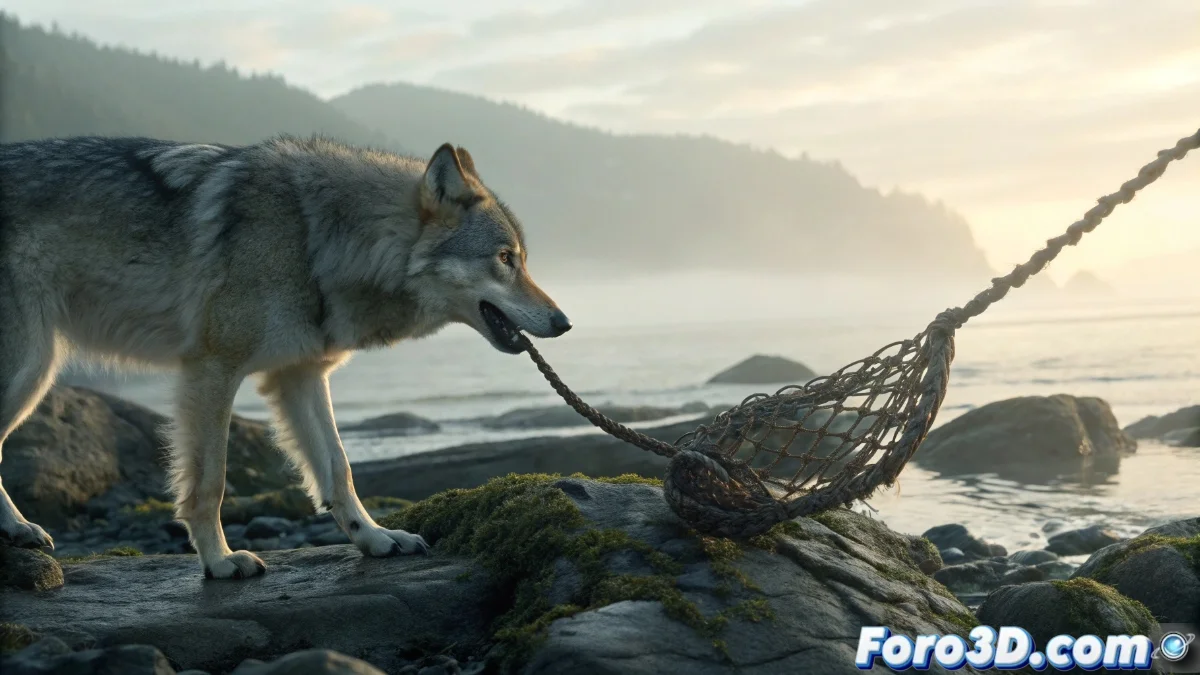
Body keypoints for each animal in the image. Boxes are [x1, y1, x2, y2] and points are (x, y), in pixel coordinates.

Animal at [0, 136, 571, 579]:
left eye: (521, 259)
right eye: (505, 259)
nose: (564, 321)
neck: (315, 240)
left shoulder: (299, 375)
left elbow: (338, 468)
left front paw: (376, 538)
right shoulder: (212, 369)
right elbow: (211, 481)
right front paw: (219, 562)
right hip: (30, 369)